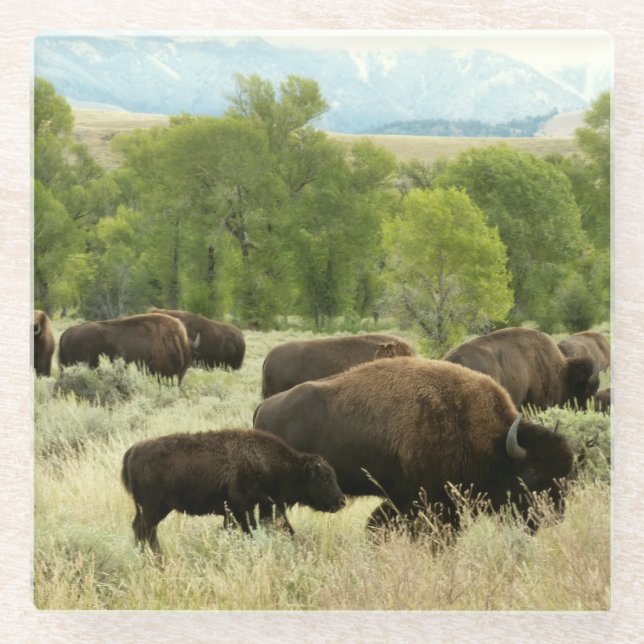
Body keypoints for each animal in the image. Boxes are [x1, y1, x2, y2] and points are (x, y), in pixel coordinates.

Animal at [121, 429, 346, 553]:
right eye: (325, 477)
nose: (341, 501)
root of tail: (133, 450)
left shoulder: (247, 509)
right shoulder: (242, 508)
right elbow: (250, 531)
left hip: (151, 509)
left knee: (143, 530)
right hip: (154, 508)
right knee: (144, 530)